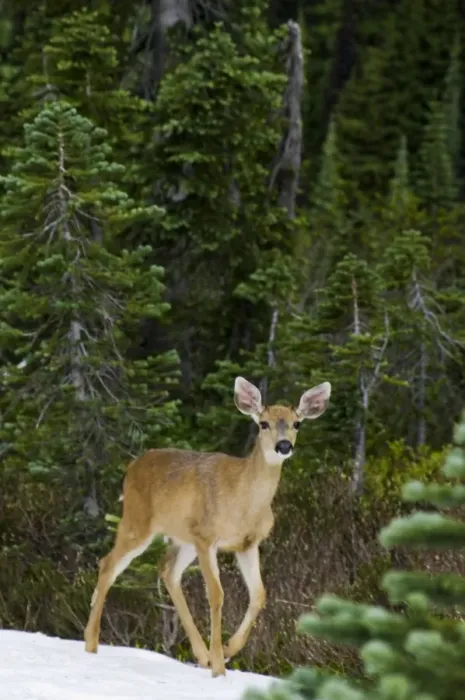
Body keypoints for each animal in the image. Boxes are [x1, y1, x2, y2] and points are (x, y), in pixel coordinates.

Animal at [84, 376, 331, 677]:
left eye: (297, 423)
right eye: (263, 423)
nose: (284, 446)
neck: (244, 503)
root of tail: (131, 467)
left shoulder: (248, 544)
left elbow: (259, 594)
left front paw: (228, 649)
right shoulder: (207, 536)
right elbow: (216, 594)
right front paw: (219, 667)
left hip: (183, 538)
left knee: (167, 570)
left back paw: (201, 655)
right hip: (138, 521)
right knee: (109, 564)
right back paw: (91, 643)